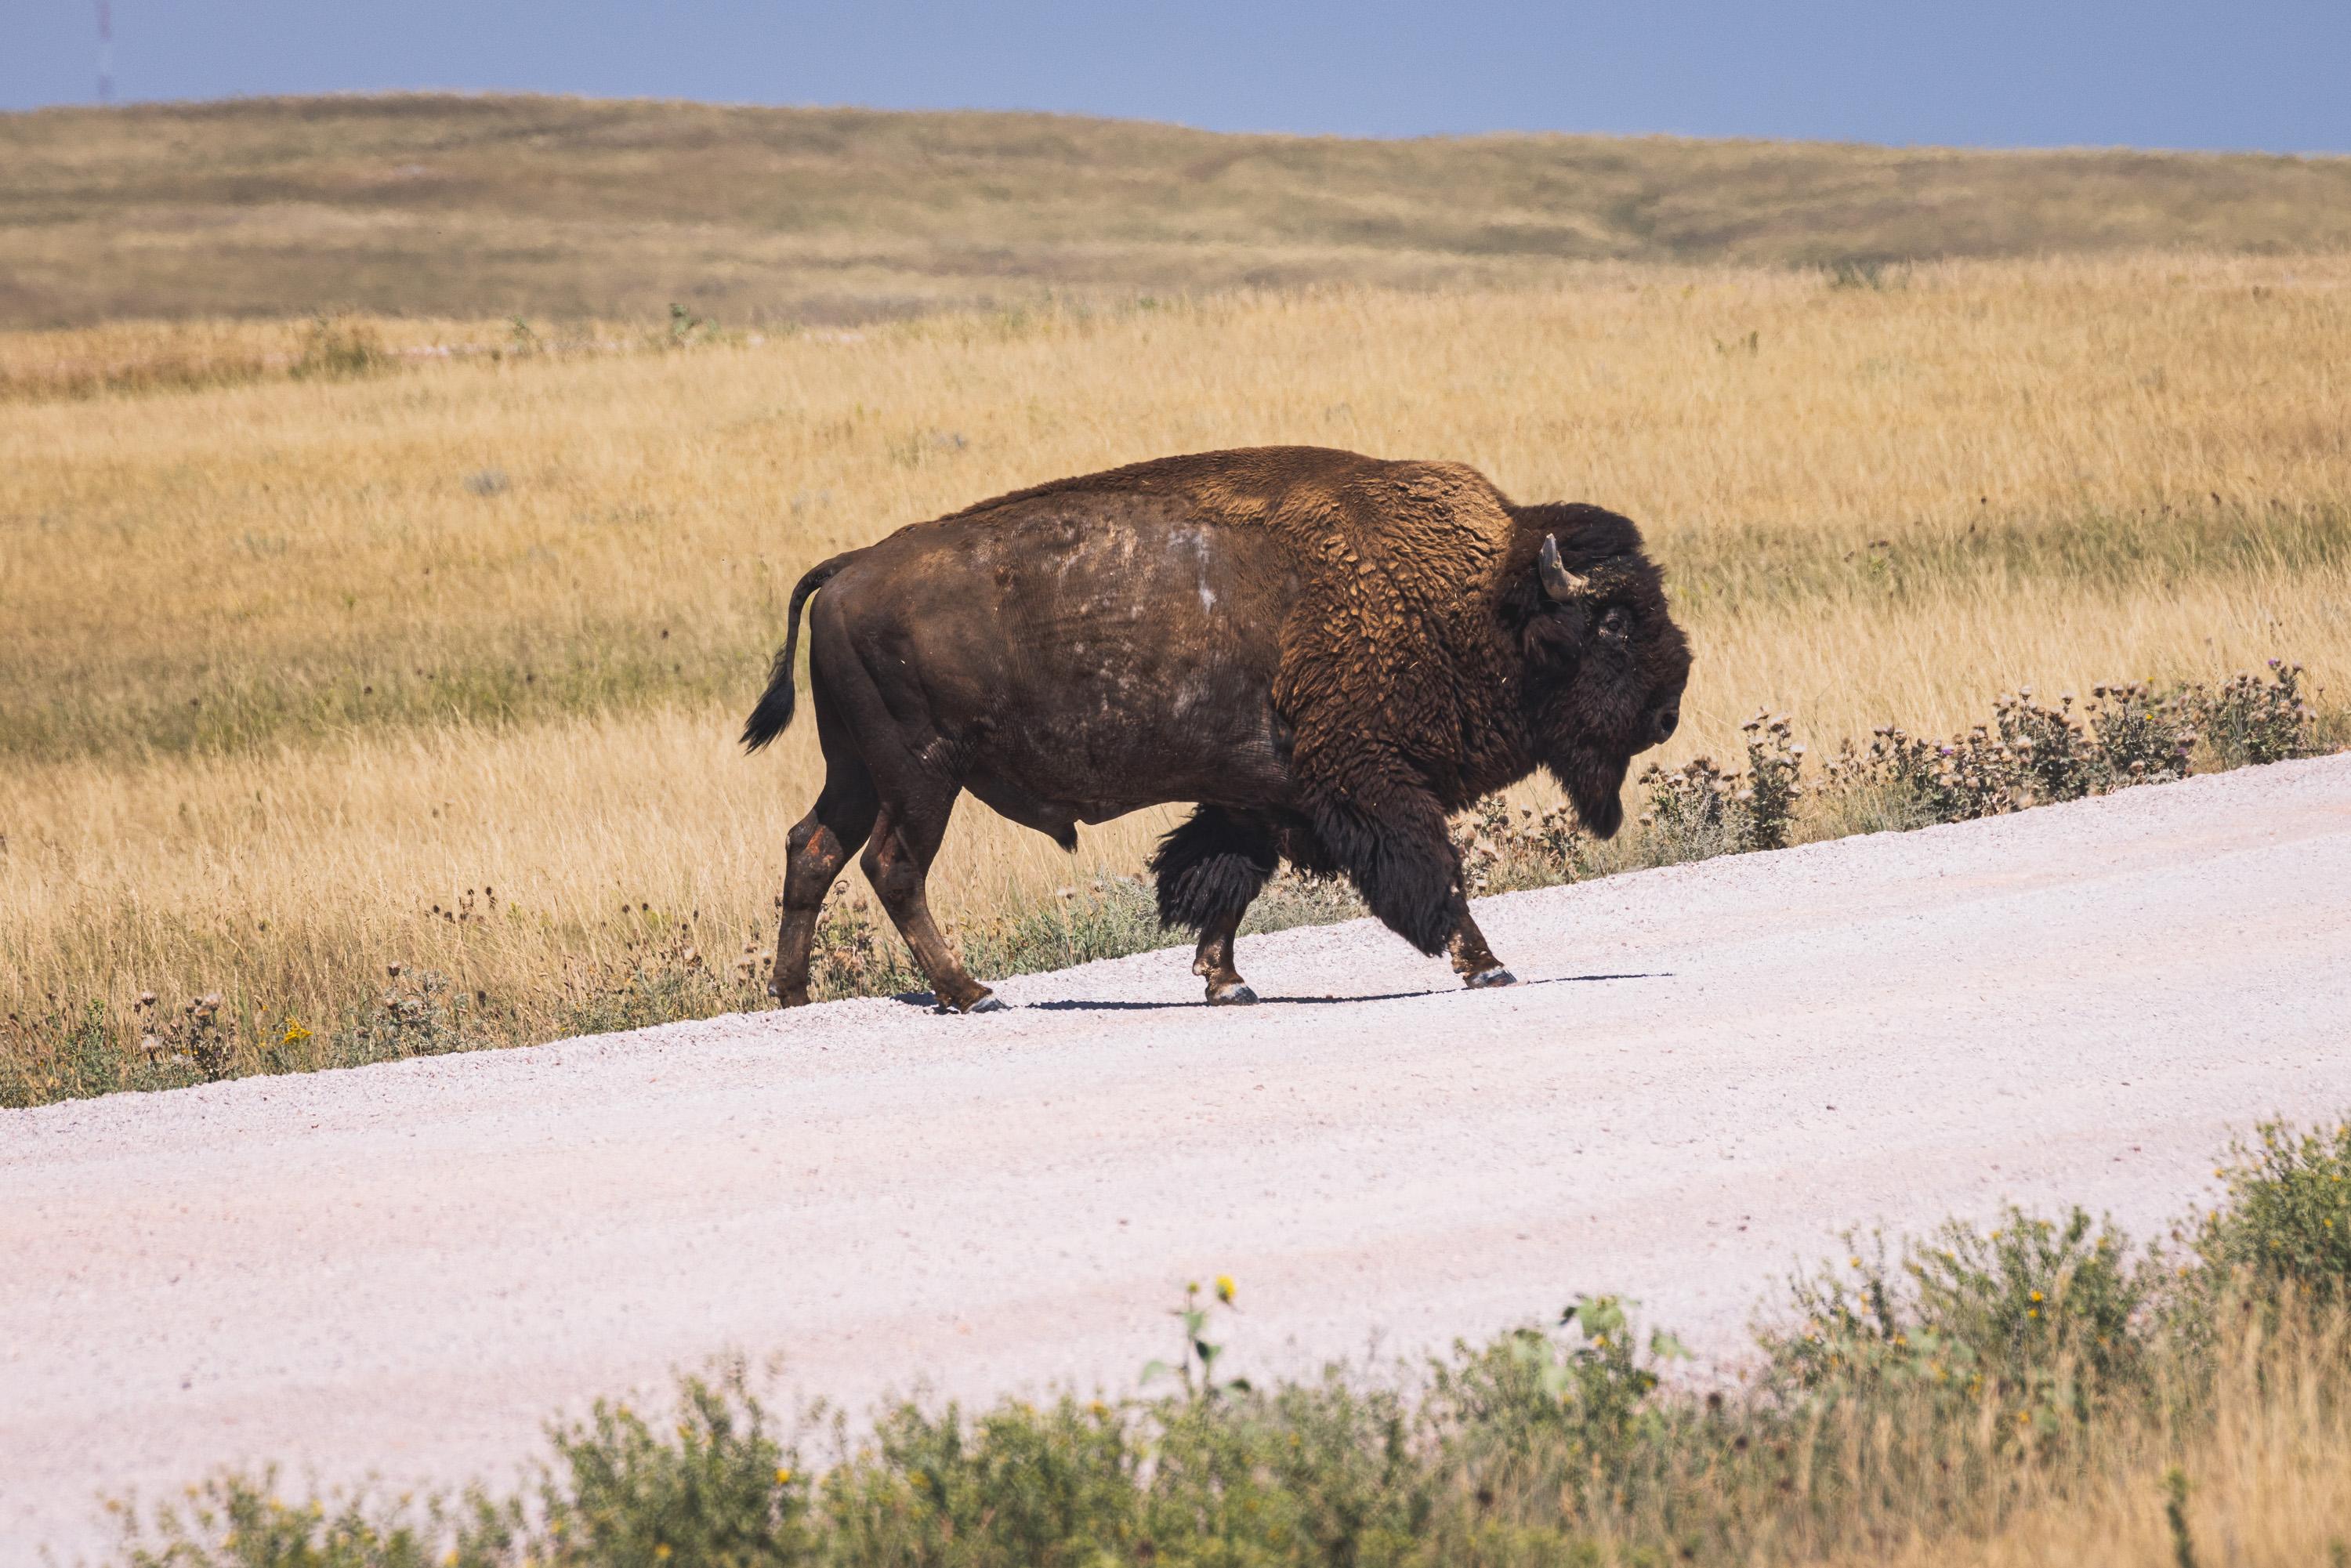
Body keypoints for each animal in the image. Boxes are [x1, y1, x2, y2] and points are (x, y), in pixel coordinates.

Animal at [743, 445, 1690, 1012]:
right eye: (1611, 622)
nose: (1668, 709)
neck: (1472, 598)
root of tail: (849, 569)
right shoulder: (1369, 782)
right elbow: (1435, 873)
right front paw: (1488, 964)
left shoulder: (1255, 795)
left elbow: (1222, 882)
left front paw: (1226, 982)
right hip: (921, 773)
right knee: (892, 867)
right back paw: (971, 992)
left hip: (857, 769)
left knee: (812, 848)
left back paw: (795, 996)